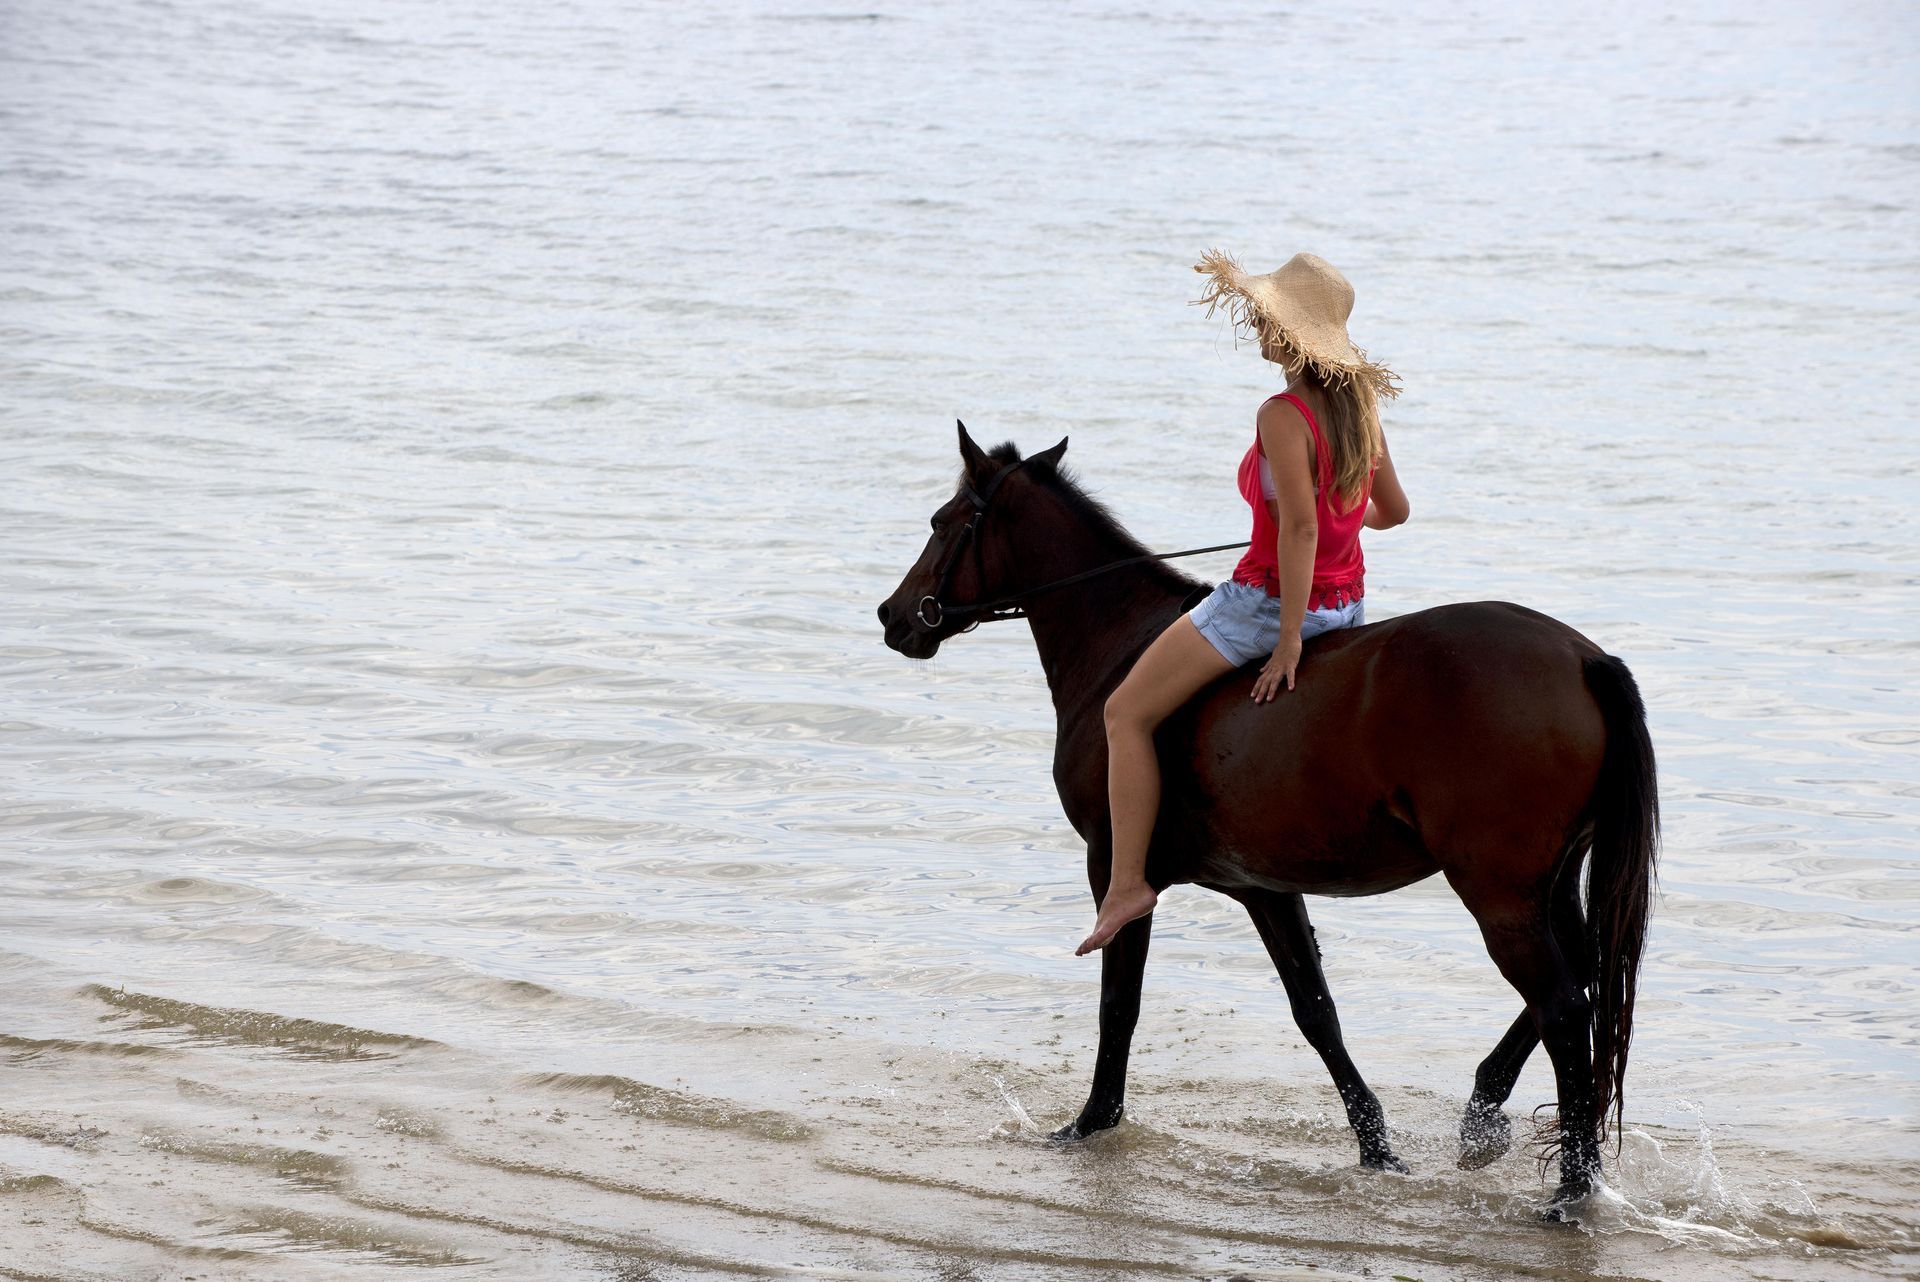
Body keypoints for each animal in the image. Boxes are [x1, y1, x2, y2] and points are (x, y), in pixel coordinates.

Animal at [875, 424, 1659, 1212]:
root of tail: (1584, 659)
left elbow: (1119, 1002)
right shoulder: (1264, 887)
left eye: (942, 522)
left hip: (1499, 894)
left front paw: (1091, 1121)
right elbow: (1317, 1012)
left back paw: (1568, 1191)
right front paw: (1377, 1150)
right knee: (1584, 975)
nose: (893, 615)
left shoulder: (1115, 866)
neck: (1119, 640)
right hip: (1547, 885)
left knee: (1565, 1007)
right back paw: (1487, 1116)